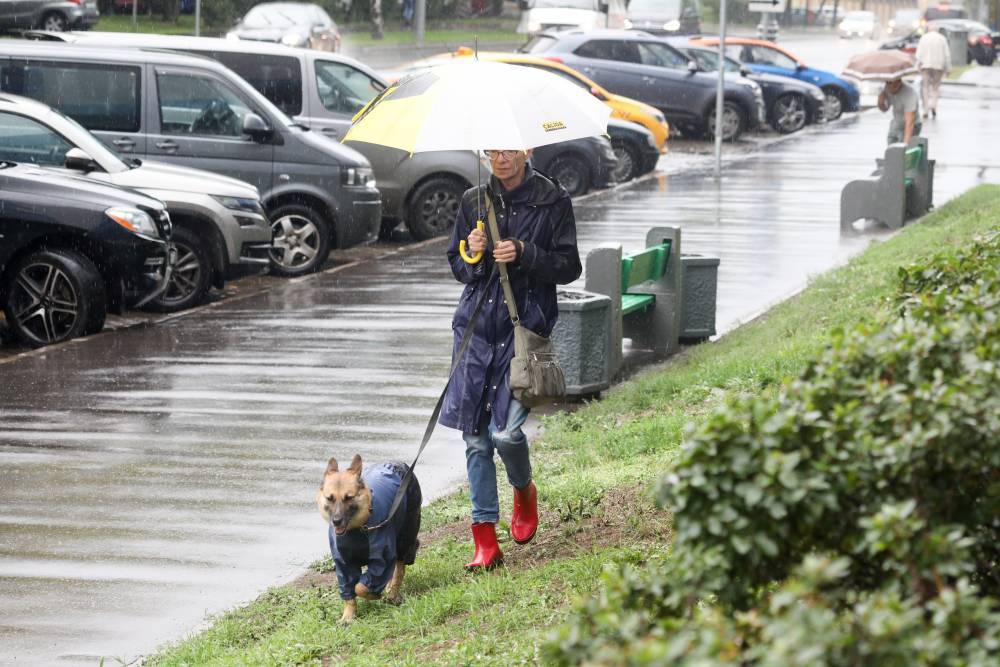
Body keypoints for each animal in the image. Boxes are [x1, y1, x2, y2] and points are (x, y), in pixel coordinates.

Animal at [314, 456, 420, 624]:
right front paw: (348, 616)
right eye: (329, 498)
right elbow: (349, 590)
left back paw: (392, 594)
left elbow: (361, 587)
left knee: (400, 567)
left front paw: (374, 594)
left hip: (405, 536)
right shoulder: (344, 565)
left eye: (348, 498)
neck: (356, 530)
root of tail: (398, 464)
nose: (336, 521)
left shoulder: (382, 560)